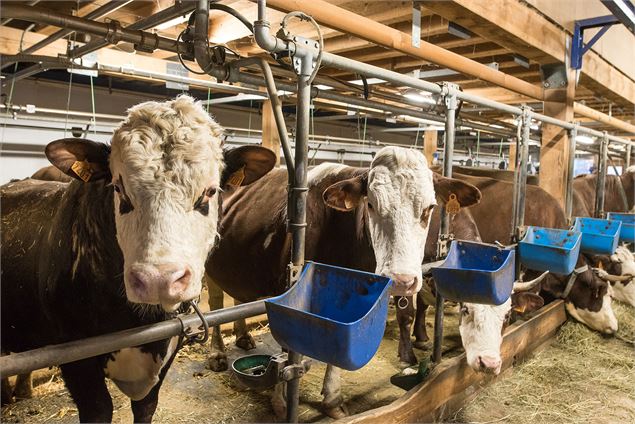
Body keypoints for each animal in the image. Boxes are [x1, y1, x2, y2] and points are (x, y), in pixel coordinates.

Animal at [1, 96, 276, 420]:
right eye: (118, 188)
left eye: (210, 191)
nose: (158, 280)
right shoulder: (74, 356)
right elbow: (99, 409)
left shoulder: (171, 343)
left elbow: (146, 406)